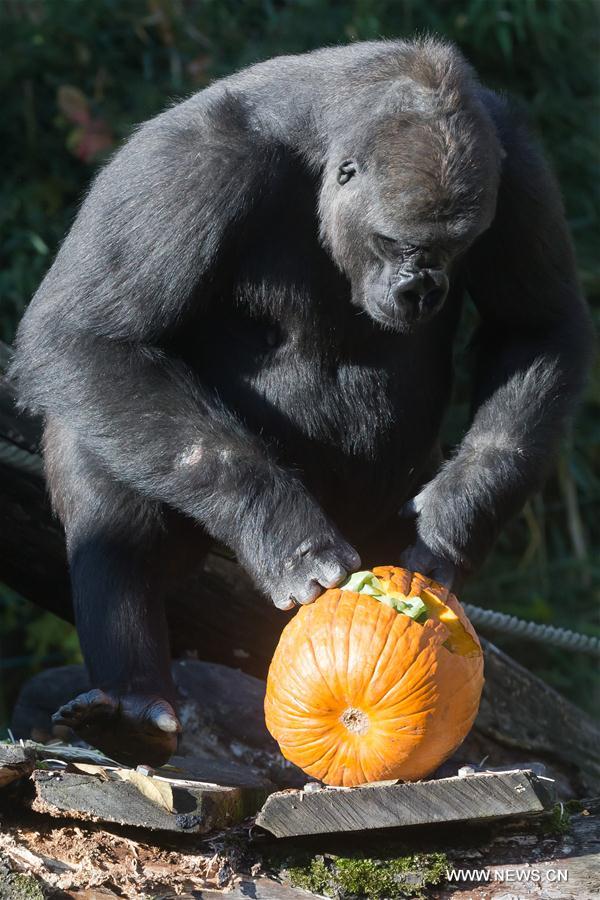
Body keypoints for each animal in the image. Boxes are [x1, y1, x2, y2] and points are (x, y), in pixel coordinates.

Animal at [9, 38, 592, 764]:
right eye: (395, 242)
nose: (419, 290)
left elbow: (536, 327)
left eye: (455, 249)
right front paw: (285, 532)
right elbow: (89, 338)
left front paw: (455, 516)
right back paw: (134, 700)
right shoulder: (187, 165)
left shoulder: (518, 168)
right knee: (100, 443)